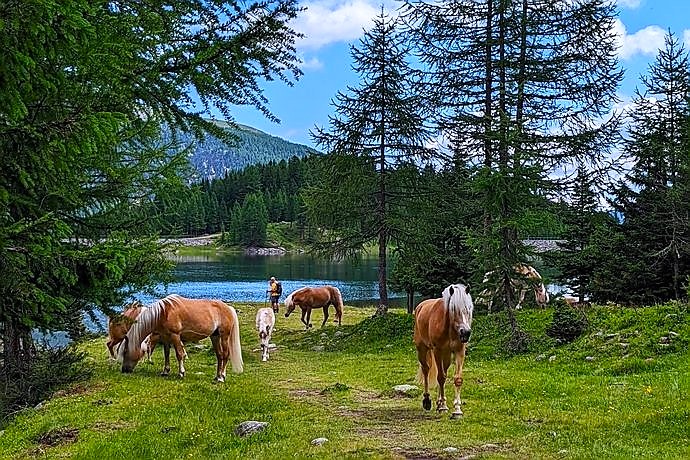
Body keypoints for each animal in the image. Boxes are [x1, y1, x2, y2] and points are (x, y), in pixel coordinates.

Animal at [412, 282, 470, 418]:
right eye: (454, 310)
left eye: (468, 309)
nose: (466, 333)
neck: (450, 328)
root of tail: (420, 307)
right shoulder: (437, 351)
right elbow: (441, 377)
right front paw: (443, 406)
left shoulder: (459, 351)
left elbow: (457, 379)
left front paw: (457, 410)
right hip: (422, 350)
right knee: (426, 370)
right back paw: (427, 401)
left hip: (446, 355)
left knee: (443, 371)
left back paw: (438, 403)